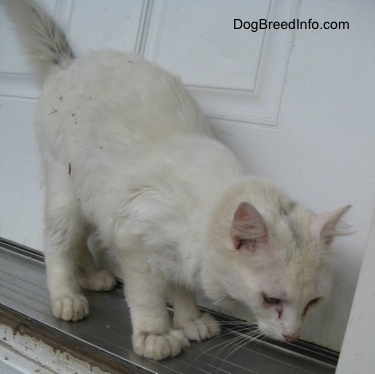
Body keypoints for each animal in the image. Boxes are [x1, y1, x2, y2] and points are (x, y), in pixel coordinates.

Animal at [4, 0, 352, 362]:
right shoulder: (136, 244)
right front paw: (156, 336)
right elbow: (148, 298)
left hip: (91, 197)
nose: (292, 335)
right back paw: (67, 297)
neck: (206, 210)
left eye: (312, 303)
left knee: (79, 240)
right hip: (66, 194)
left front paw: (190, 321)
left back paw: (91, 277)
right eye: (272, 300)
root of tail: (69, 64)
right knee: (58, 244)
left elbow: (183, 290)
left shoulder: (173, 256)